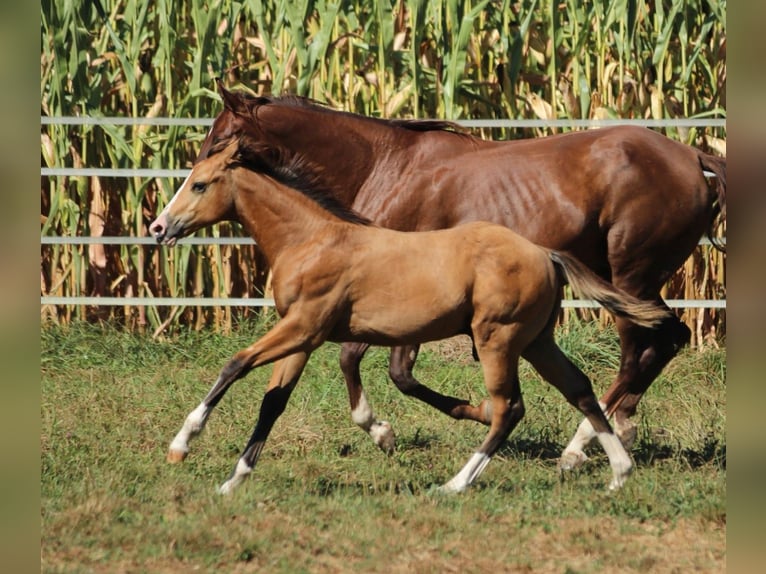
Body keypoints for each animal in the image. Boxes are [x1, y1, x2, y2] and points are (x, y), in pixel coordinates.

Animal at [149, 136, 671, 494]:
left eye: (199, 183)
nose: (158, 227)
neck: (312, 238)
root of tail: (544, 253)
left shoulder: (303, 327)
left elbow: (235, 364)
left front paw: (181, 444)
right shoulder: (303, 336)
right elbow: (272, 402)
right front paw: (234, 481)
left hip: (497, 340)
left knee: (509, 408)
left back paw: (455, 484)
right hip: (537, 340)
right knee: (579, 388)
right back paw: (617, 471)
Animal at [190, 81, 725, 468]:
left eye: (221, 140)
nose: (183, 198)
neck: (385, 167)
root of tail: (693, 157)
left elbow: (374, 366)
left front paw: (390, 429)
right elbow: (384, 369)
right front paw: (404, 426)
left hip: (631, 276)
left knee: (641, 350)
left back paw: (581, 446)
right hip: (634, 282)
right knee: (667, 340)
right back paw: (618, 431)